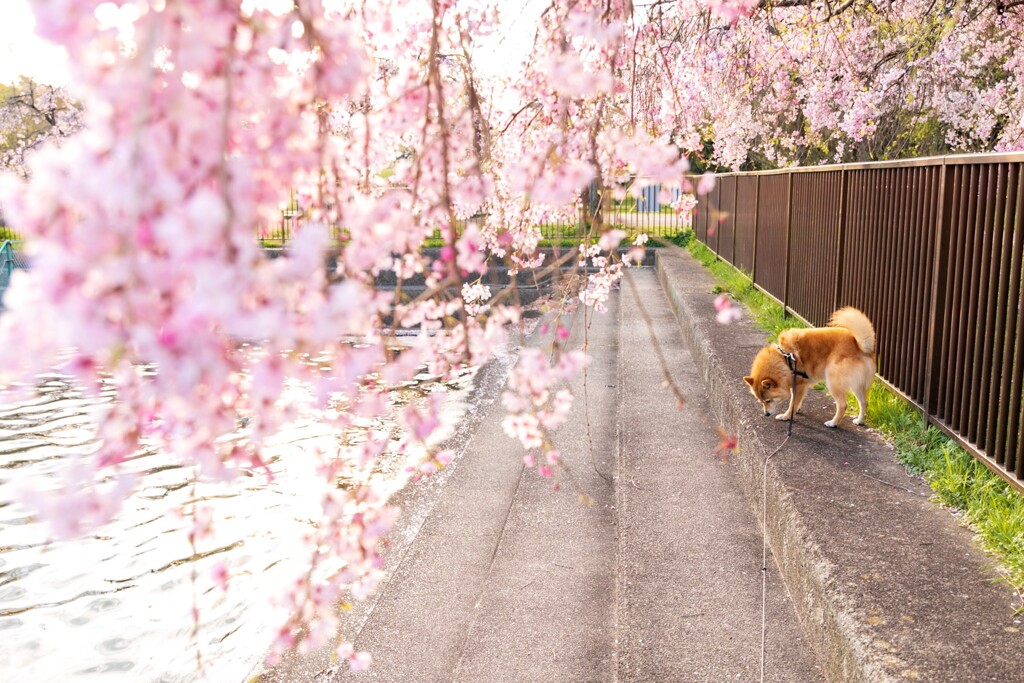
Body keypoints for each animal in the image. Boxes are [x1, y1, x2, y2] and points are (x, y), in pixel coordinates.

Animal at [741, 309, 876, 428]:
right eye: (761, 402)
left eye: (768, 401)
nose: (766, 414)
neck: (783, 359)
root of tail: (860, 345)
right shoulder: (801, 385)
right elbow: (797, 401)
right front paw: (797, 409)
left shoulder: (799, 384)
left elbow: (792, 403)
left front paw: (786, 416)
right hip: (857, 385)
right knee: (864, 402)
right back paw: (859, 421)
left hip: (833, 382)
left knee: (843, 405)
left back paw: (833, 423)